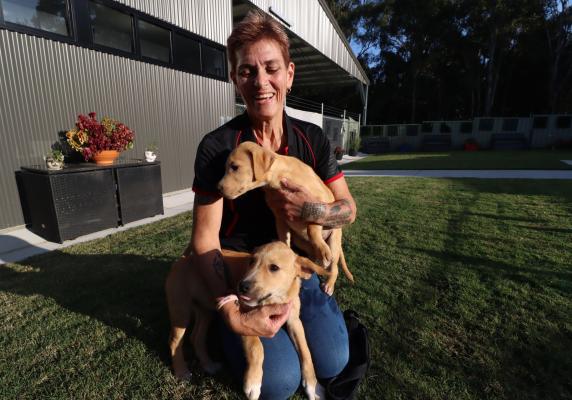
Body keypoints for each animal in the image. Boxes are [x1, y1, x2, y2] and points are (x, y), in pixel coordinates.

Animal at [163, 241, 328, 400]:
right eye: (251, 261)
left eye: (274, 268)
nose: (242, 286)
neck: (275, 299)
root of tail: (183, 258)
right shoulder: (244, 320)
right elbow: (256, 346)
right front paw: (253, 383)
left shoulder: (294, 321)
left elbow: (306, 352)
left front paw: (313, 387)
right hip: (180, 309)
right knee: (174, 341)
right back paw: (182, 371)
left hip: (205, 310)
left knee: (196, 337)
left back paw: (208, 365)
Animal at [218, 141, 354, 294]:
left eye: (234, 167)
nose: (218, 188)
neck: (278, 177)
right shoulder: (280, 218)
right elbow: (284, 238)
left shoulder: (317, 201)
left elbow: (312, 226)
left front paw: (322, 249)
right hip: (301, 241)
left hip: (334, 242)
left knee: (334, 267)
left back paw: (329, 280)